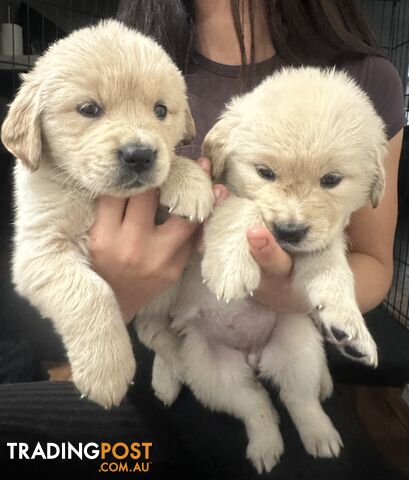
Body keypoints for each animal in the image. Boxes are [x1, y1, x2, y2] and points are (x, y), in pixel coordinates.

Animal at [2, 20, 214, 406]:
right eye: (89, 109)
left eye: (161, 111)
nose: (139, 155)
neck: (89, 193)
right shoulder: (40, 250)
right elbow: (91, 291)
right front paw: (106, 372)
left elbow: (172, 159)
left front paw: (189, 180)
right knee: (153, 331)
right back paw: (172, 376)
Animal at [153, 66, 386, 472]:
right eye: (264, 172)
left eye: (331, 180)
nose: (289, 231)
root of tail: (253, 356)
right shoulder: (217, 200)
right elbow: (245, 207)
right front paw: (231, 267)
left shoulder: (325, 237)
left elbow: (332, 265)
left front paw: (350, 325)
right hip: (211, 370)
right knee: (256, 406)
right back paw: (265, 446)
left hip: (298, 348)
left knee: (296, 400)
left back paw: (319, 436)